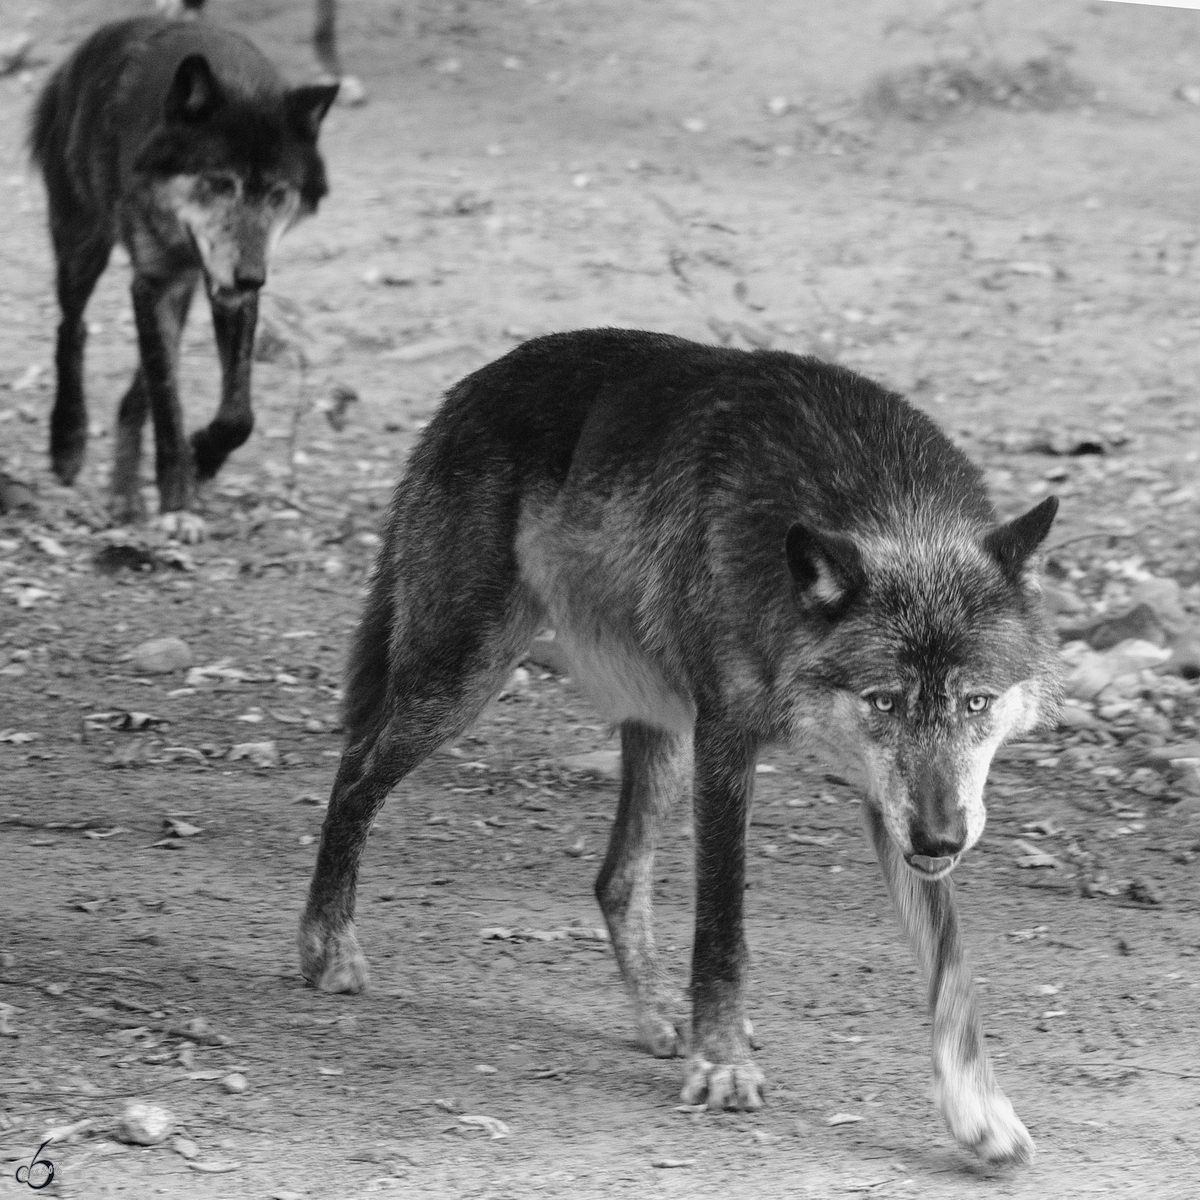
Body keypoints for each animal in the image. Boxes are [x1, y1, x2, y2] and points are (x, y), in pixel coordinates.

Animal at [30, 14, 338, 537]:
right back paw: (67, 440)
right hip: (82, 247)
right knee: (71, 329)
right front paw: (177, 501)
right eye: (219, 184)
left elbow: (237, 414)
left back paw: (124, 491)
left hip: (183, 291)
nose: (250, 276)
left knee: (137, 388)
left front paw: (203, 459)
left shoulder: (223, 293)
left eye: (277, 194)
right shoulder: (152, 283)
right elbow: (167, 404)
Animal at [297, 328, 1060, 1161]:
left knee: (614, 879)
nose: (943, 837)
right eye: (884, 700)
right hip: (464, 679)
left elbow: (950, 961)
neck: (884, 505)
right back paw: (327, 946)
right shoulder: (728, 743)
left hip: (657, 728)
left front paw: (978, 1112)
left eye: (976, 702)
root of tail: (469, 384)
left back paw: (663, 1014)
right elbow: (722, 928)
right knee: (355, 771)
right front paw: (722, 1065)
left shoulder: (887, 799)